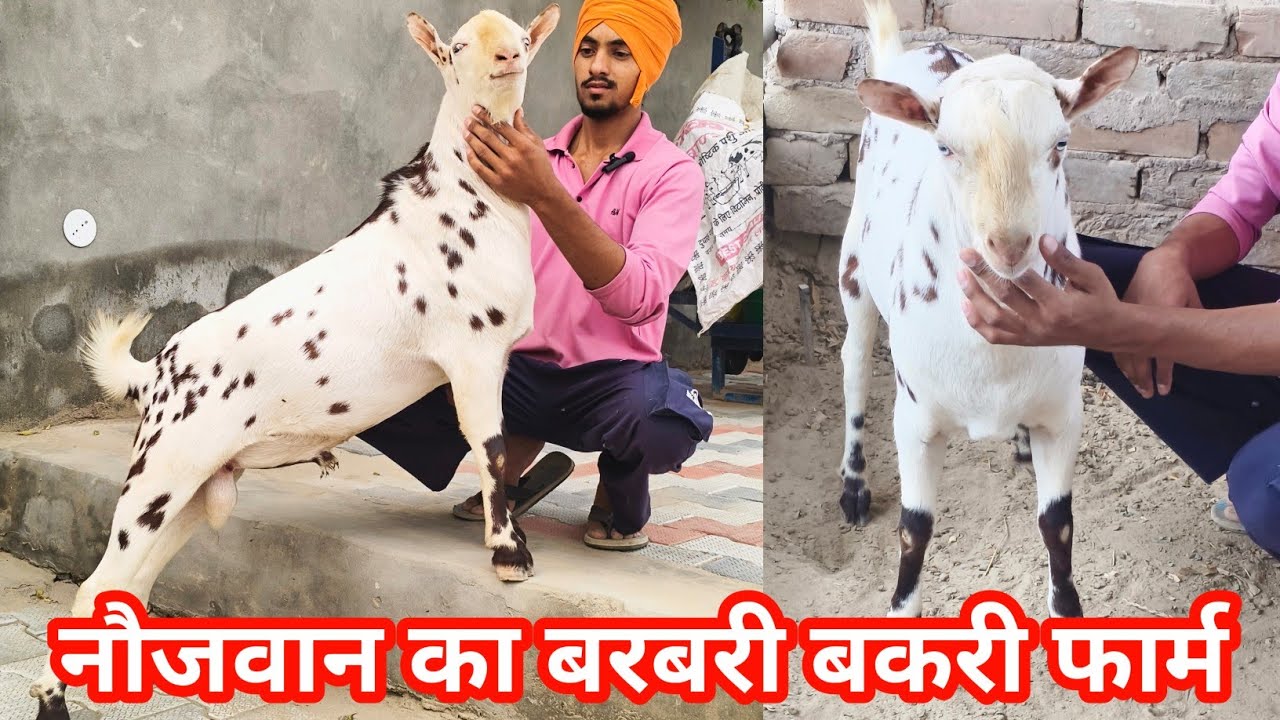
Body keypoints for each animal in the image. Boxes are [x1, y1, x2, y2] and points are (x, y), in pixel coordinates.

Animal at [30, 6, 561, 718]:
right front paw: (508, 555)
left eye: (523, 37)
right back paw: (53, 699)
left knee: (128, 588)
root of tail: (157, 371)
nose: (507, 57)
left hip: (196, 487)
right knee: (96, 586)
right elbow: (493, 450)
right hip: (160, 473)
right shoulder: (472, 352)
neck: (466, 198)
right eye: (455, 48)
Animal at [837, 0, 1137, 618]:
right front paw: (901, 609)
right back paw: (853, 483)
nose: (1008, 244)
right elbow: (915, 528)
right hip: (853, 264)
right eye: (945, 147)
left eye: (1061, 144)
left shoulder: (1064, 412)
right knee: (853, 360)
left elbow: (1058, 524)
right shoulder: (915, 419)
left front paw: (1067, 610)